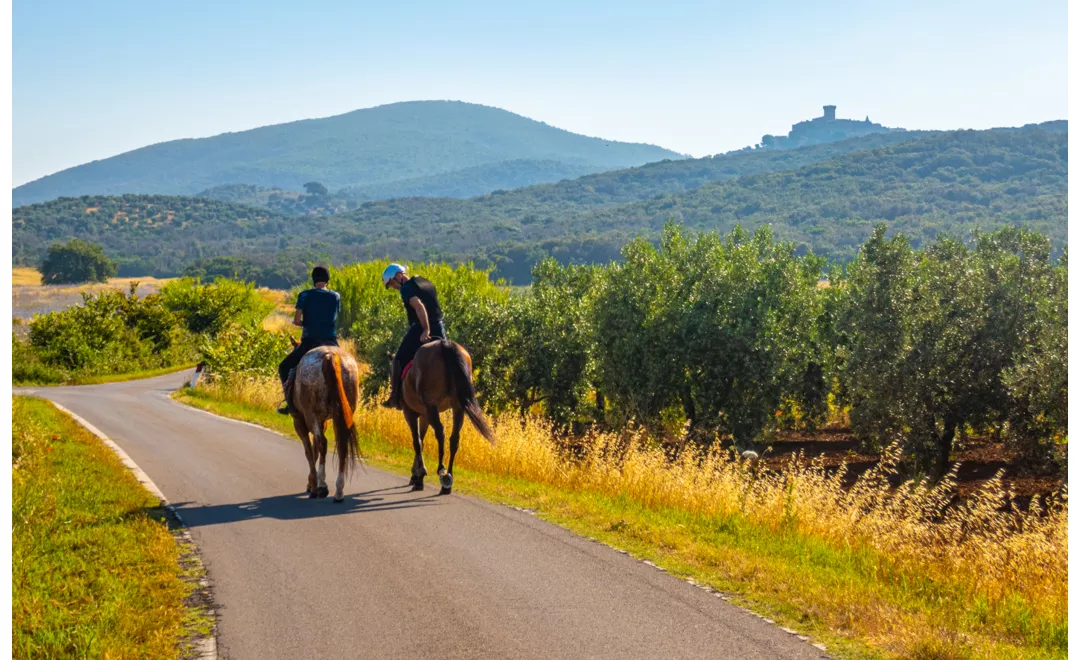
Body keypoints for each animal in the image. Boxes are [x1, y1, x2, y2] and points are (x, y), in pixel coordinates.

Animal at [289, 343, 360, 503]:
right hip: (341, 414)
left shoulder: (300, 422)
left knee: (323, 443)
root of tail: (330, 355)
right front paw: (311, 482)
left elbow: (310, 451)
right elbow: (315, 450)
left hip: (312, 415)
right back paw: (339, 491)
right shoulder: (323, 421)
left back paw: (320, 487)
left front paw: (312, 484)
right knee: (341, 445)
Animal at [397, 341, 496, 496]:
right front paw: (416, 475)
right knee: (454, 439)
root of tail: (445, 344)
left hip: (431, 405)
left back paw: (441, 469)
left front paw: (419, 476)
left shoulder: (410, 413)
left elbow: (417, 442)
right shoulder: (424, 416)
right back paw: (447, 480)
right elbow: (421, 441)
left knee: (440, 431)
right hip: (457, 407)